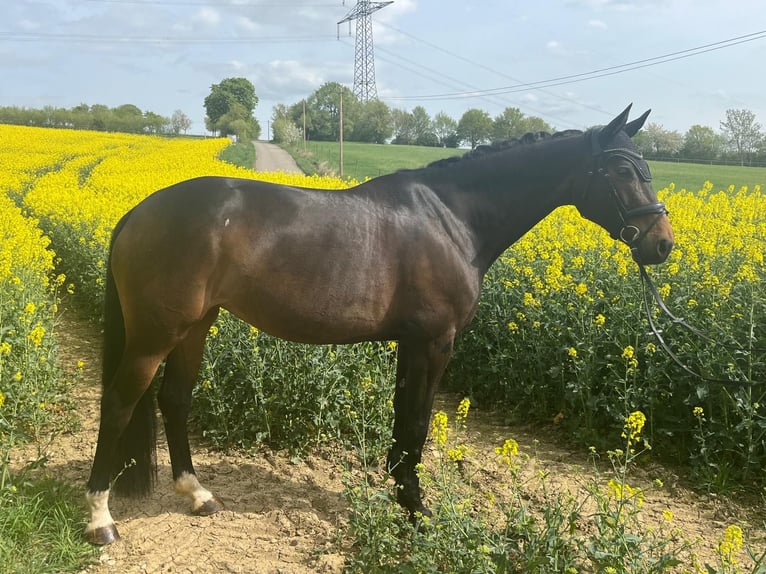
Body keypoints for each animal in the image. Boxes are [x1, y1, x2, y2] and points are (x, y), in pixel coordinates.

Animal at [82, 104, 672, 548]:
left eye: (647, 168)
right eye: (623, 171)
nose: (661, 244)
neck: (451, 218)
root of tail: (138, 213)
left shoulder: (411, 344)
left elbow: (403, 423)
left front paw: (399, 496)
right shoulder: (434, 343)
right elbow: (417, 425)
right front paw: (416, 510)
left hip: (195, 326)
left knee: (175, 399)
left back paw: (197, 495)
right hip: (155, 336)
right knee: (119, 404)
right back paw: (100, 519)